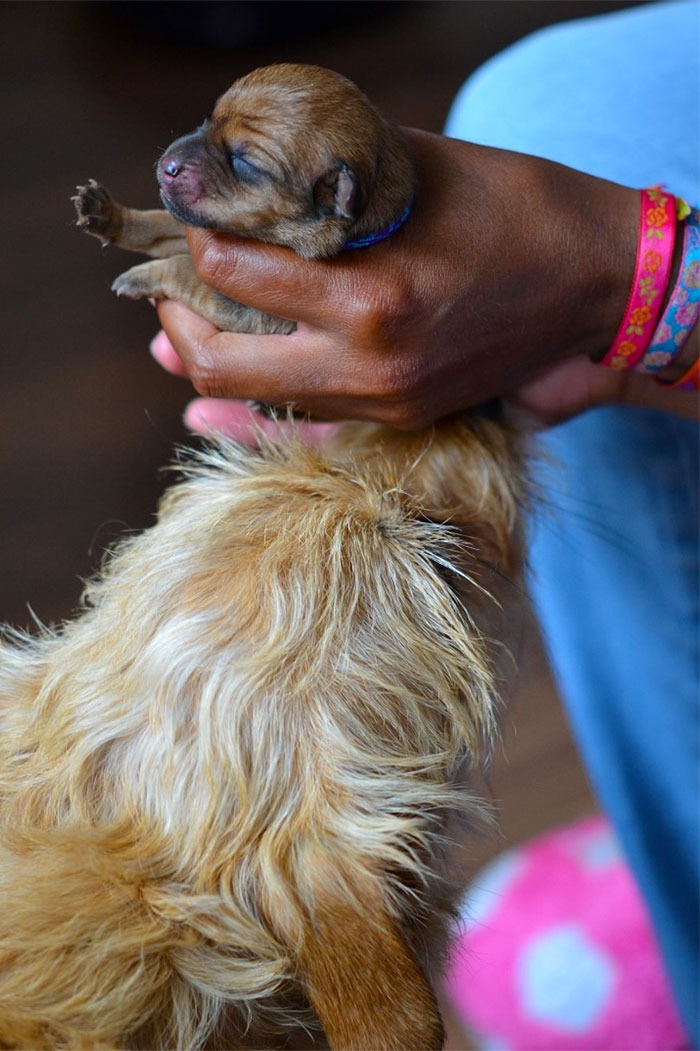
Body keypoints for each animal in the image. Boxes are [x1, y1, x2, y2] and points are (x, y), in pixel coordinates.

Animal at [0, 65, 529, 1049]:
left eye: (246, 160)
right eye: (203, 124)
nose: (170, 160)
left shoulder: (259, 310)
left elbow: (194, 267)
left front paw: (149, 264)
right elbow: (172, 233)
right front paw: (117, 220)